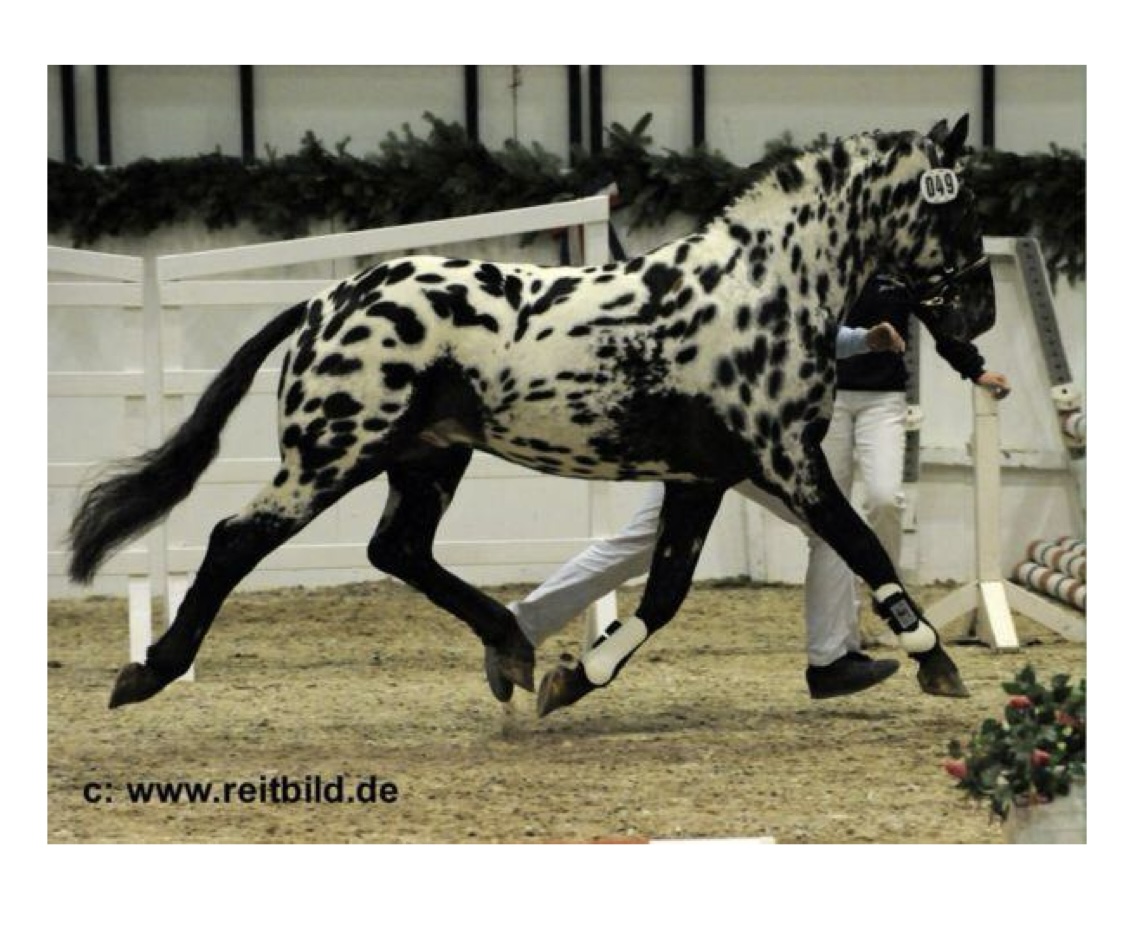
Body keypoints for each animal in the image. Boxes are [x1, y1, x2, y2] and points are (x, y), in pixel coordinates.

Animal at [68, 116, 989, 717]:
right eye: (956, 207)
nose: (978, 312)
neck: (765, 289)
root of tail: (325, 299)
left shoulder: (704, 477)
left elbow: (665, 593)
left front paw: (574, 677)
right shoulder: (787, 460)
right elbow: (864, 546)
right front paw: (935, 659)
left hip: (427, 457)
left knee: (397, 549)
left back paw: (511, 643)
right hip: (332, 452)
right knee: (237, 539)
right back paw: (149, 671)